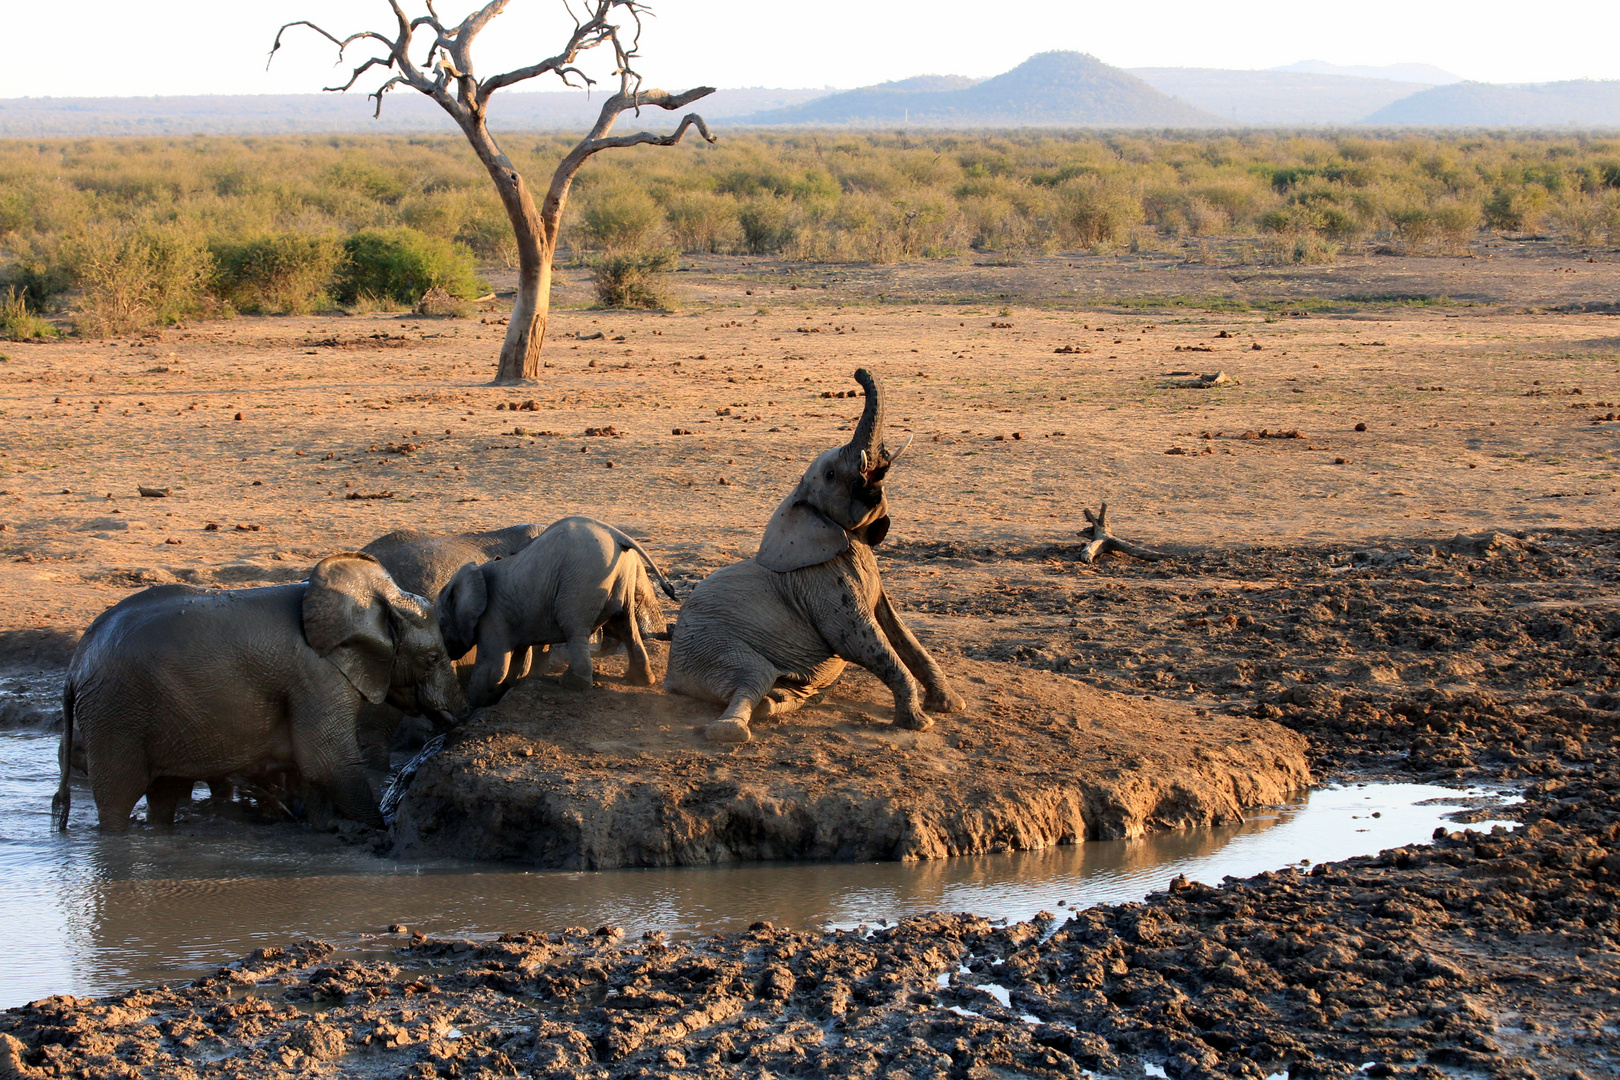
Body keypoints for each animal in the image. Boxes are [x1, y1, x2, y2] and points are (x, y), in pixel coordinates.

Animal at [52, 553, 469, 835]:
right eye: (433, 658)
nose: (460, 721)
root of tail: (74, 668)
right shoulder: (316, 675)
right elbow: (327, 761)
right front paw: (375, 829)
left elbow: (311, 766)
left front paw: (326, 829)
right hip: (114, 712)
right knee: (119, 797)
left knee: (163, 794)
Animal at [437, 518, 677, 709]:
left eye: (441, 624)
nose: (450, 655)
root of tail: (617, 535)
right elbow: (520, 662)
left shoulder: (492, 616)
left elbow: (493, 669)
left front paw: (472, 707)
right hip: (622, 576)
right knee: (625, 626)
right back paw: (640, 681)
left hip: (582, 580)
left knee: (575, 627)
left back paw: (570, 683)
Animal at [667, 365, 959, 744]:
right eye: (832, 474)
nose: (857, 372)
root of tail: (671, 677)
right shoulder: (823, 582)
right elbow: (858, 640)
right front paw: (919, 723)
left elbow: (898, 629)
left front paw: (950, 706)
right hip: (710, 646)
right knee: (752, 676)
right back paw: (731, 730)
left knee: (781, 689)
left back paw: (775, 702)